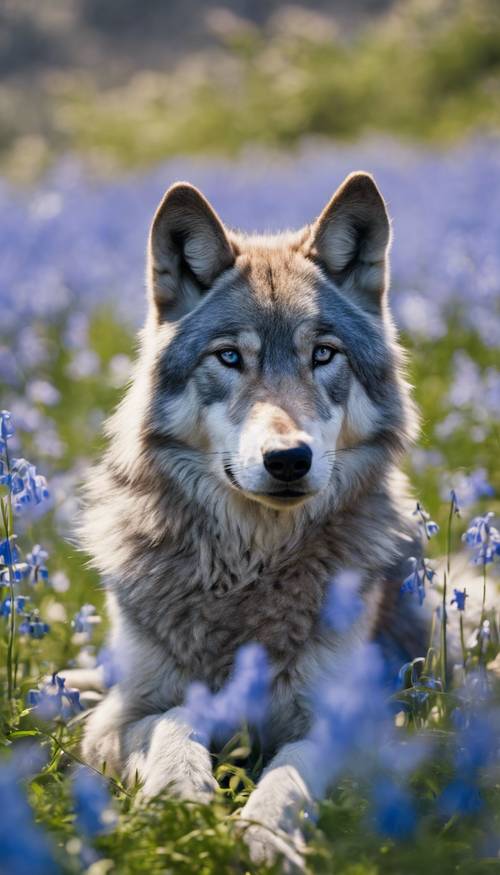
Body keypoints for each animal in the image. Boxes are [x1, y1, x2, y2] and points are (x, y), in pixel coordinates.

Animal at [72, 173, 424, 868]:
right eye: (230, 357)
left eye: (323, 355)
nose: (288, 459)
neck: (249, 570)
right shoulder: (118, 720)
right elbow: (177, 719)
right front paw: (180, 799)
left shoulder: (356, 726)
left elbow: (293, 768)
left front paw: (265, 834)